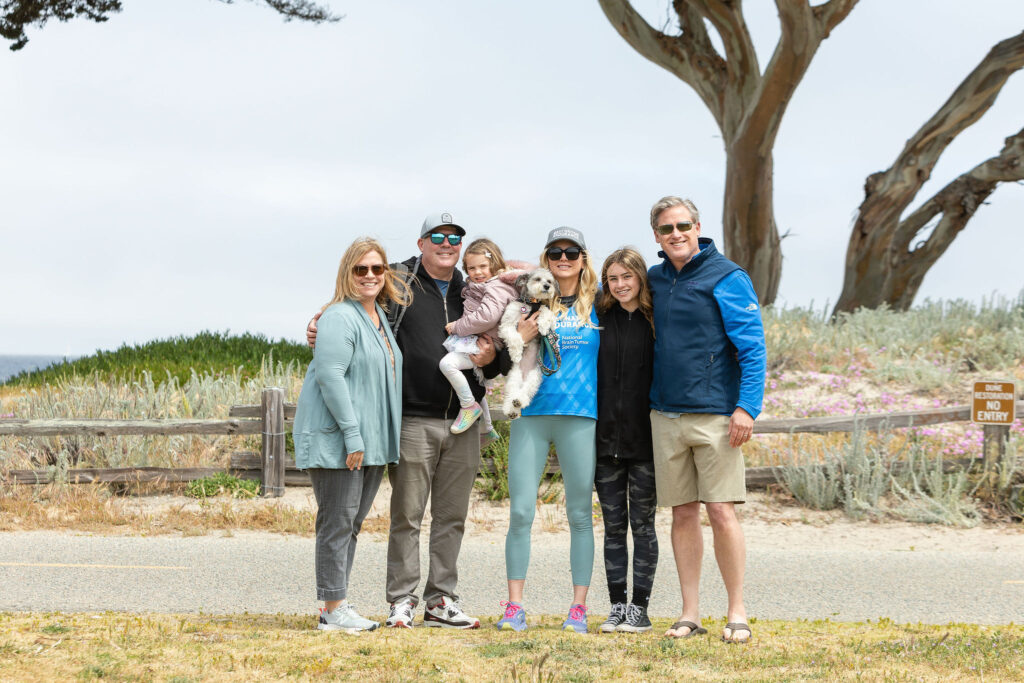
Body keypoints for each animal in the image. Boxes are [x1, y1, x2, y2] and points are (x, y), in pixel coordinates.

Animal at [497, 266, 561, 417]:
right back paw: (510, 409)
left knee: (525, 392)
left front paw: (543, 326)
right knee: (512, 392)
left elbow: (546, 313)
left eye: (549, 281)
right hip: (513, 377)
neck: (532, 304)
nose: (547, 286)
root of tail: (524, 375)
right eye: (537, 279)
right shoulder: (507, 324)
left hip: (534, 378)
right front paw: (516, 354)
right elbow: (514, 338)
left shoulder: (548, 316)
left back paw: (519, 402)